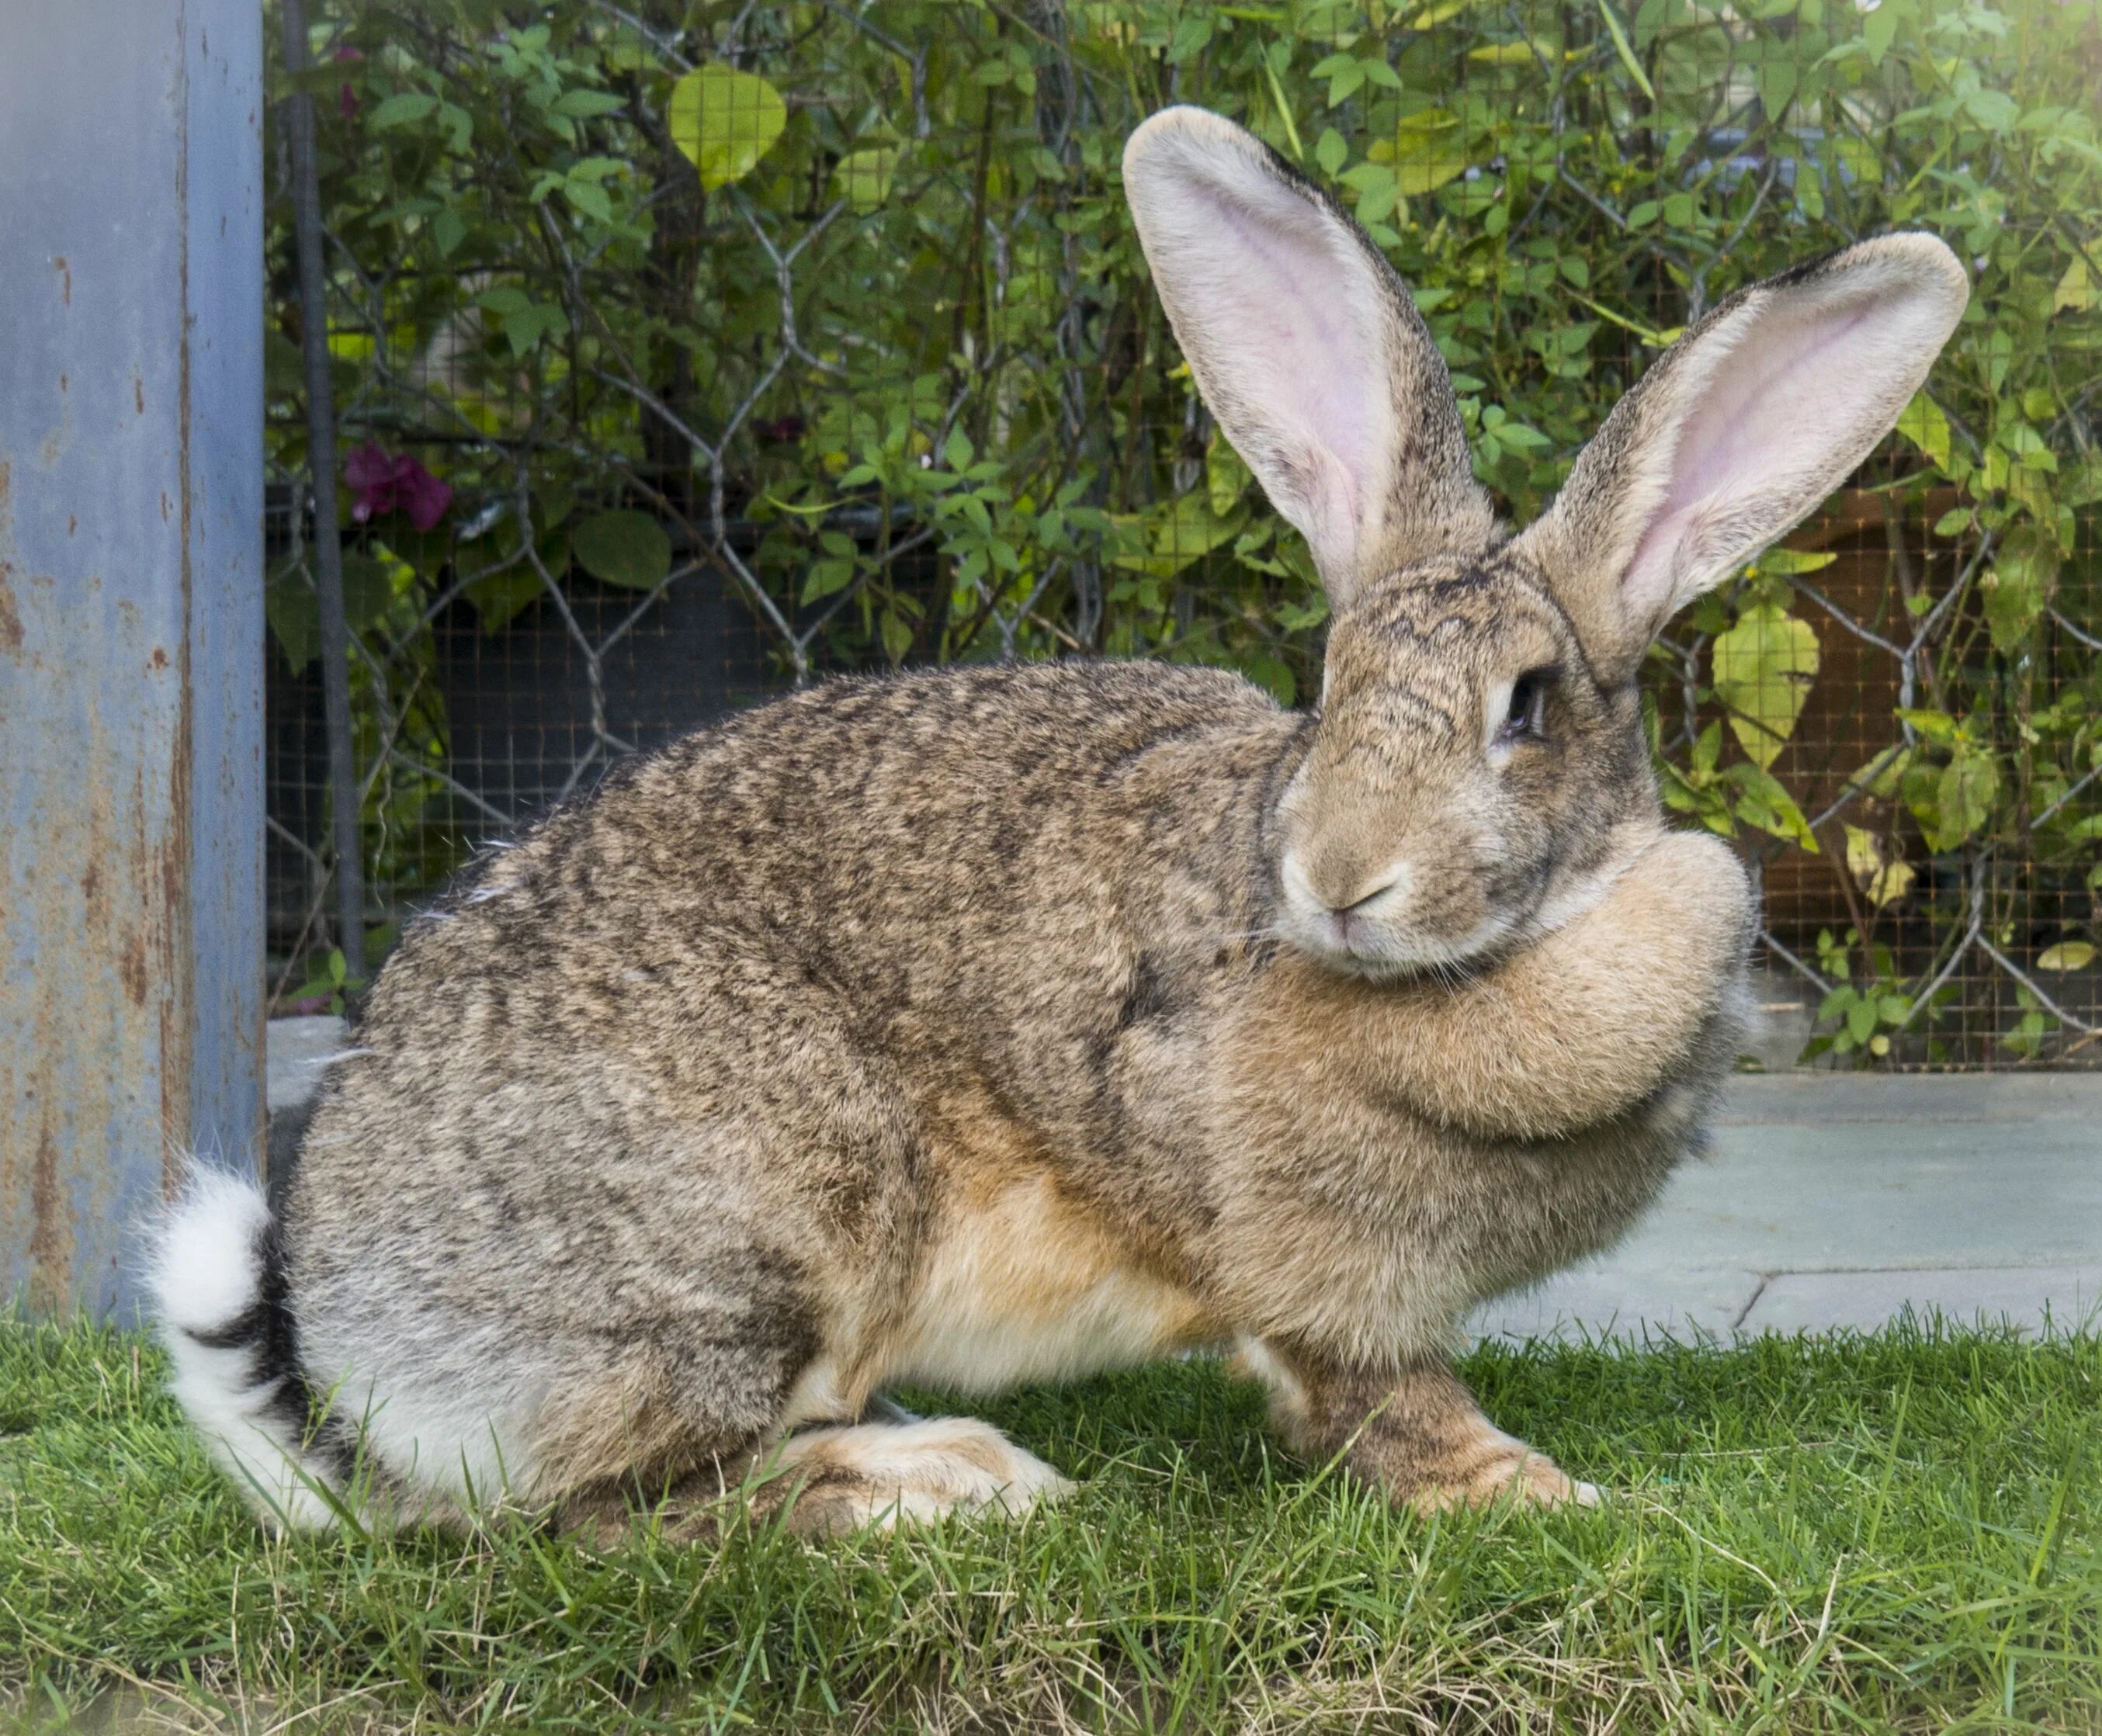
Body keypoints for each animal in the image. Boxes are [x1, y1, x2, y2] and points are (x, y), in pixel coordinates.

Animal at [152, 108, 1967, 1538]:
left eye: (1528, 706)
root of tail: (351, 1342)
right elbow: (1378, 1399)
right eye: (1326, 683)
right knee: (612, 1512)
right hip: (755, 1226)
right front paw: (1538, 1494)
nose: (1338, 879)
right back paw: (940, 1483)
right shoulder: (1310, 1273)